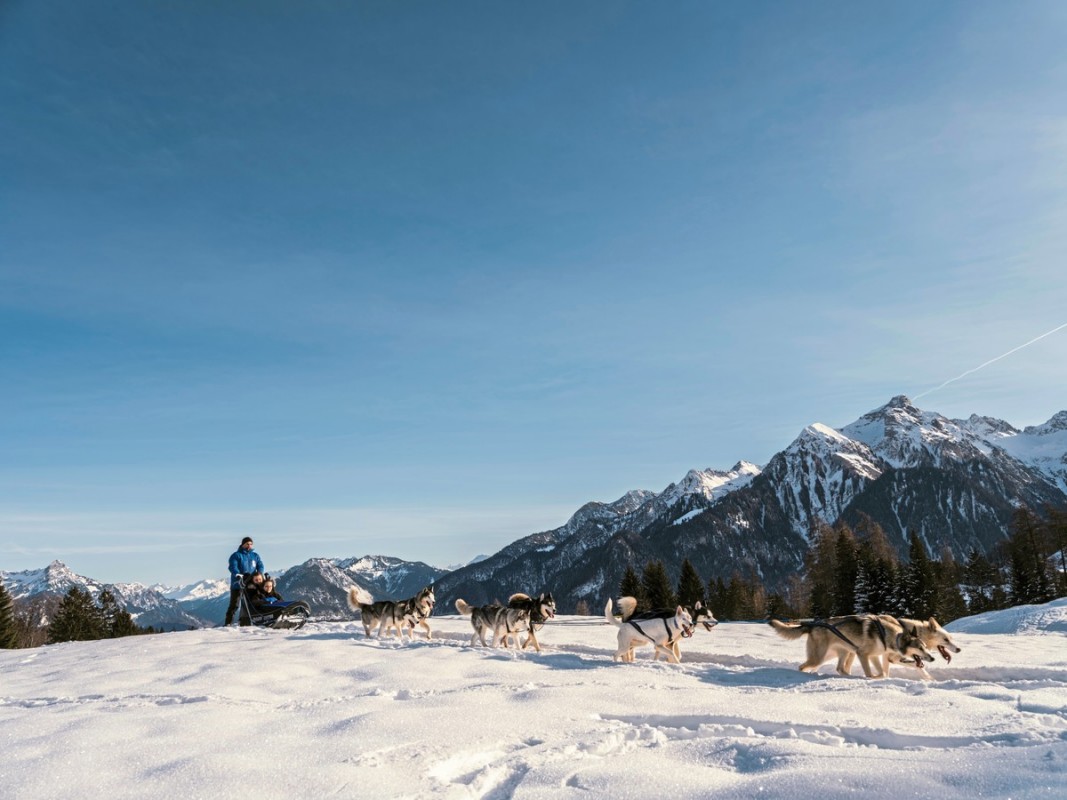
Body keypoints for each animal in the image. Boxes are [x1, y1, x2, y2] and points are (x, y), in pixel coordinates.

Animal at [768, 618, 934, 678]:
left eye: (925, 647)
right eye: (920, 648)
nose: (932, 658)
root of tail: (812, 625)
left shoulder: (874, 656)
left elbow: (882, 673)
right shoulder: (863, 654)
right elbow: (870, 673)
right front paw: (870, 678)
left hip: (842, 653)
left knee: (840, 668)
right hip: (821, 657)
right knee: (802, 667)